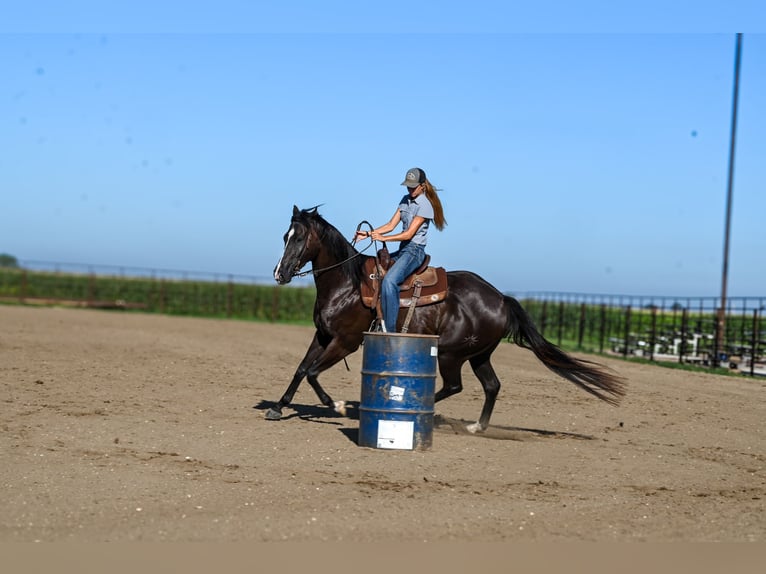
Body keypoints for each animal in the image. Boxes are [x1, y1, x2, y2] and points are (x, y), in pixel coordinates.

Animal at [269, 205, 625, 433]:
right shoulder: (323, 336)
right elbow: (301, 369)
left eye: (299, 238)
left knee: (455, 385)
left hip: (452, 354)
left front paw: (337, 405)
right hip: (479, 355)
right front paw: (278, 407)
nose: (279, 274)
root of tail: (501, 299)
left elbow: (313, 373)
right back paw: (477, 426)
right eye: (284, 236)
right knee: (492, 385)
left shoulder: (346, 342)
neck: (347, 284)